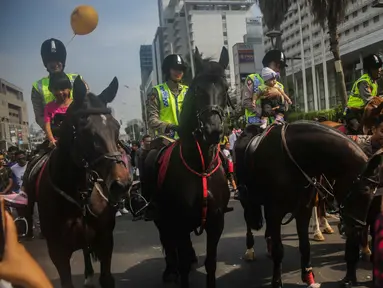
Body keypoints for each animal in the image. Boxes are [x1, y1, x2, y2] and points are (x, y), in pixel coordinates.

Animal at [24, 76, 132, 288]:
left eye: (116, 127)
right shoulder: (57, 251)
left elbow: (106, 278)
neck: (78, 193)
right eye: (86, 130)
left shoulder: (105, 240)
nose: (122, 184)